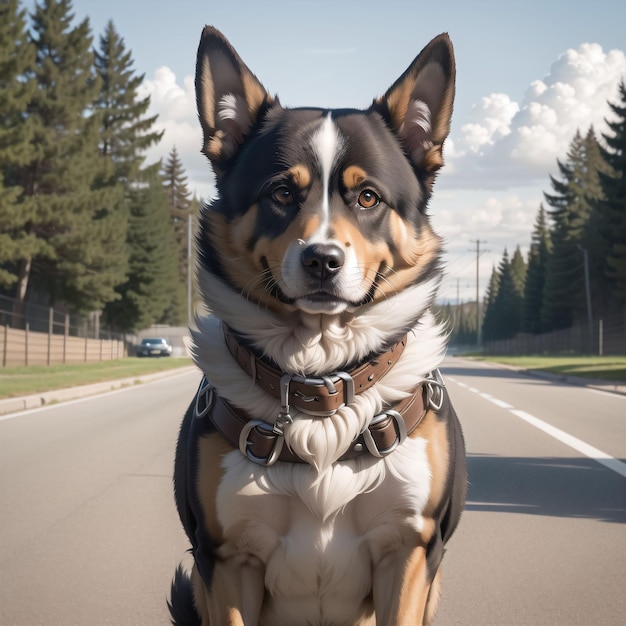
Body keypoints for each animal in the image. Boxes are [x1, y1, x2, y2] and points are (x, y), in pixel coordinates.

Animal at [168, 25, 466, 624]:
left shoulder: (410, 549)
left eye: (368, 196)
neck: (322, 379)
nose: (322, 260)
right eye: (282, 192)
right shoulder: (227, 559)